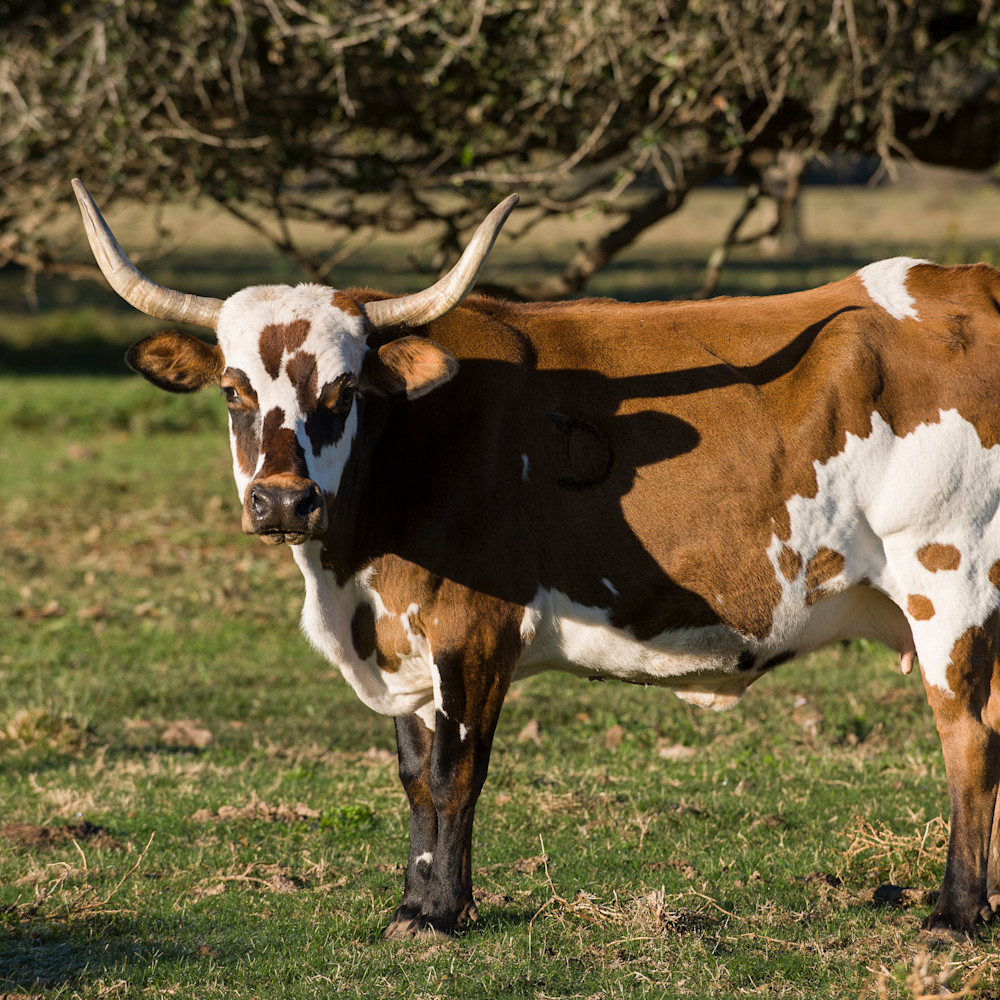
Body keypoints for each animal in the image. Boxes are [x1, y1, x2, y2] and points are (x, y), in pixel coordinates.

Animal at [72, 178, 1000, 939]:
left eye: (341, 393)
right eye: (233, 391)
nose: (282, 503)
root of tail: (970, 281)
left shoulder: (474, 630)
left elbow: (456, 772)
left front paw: (440, 914)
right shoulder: (407, 645)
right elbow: (415, 775)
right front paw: (415, 900)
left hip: (949, 580)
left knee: (968, 737)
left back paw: (954, 915)